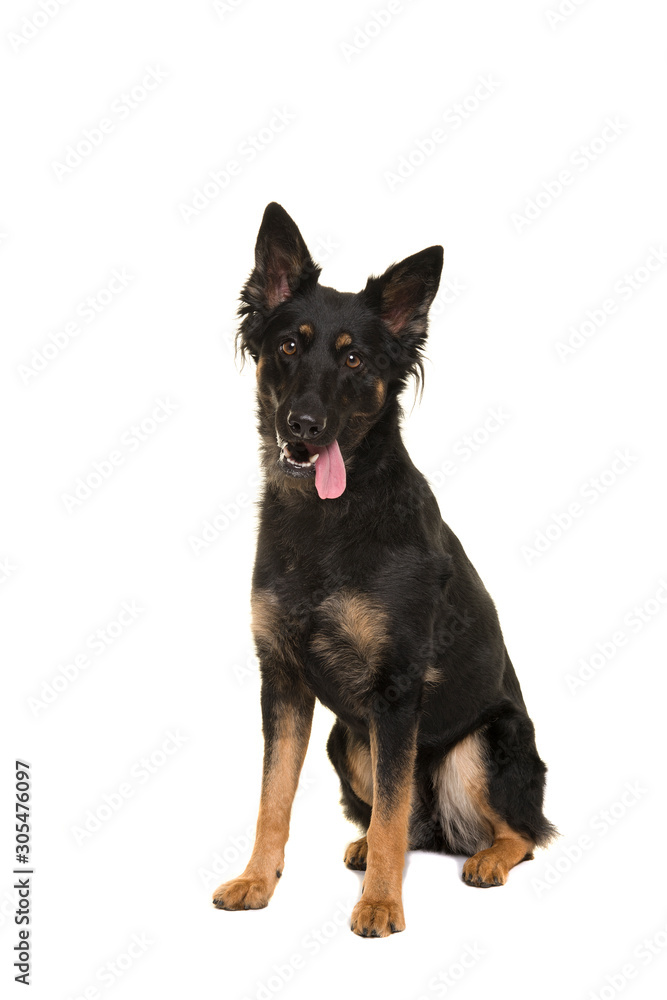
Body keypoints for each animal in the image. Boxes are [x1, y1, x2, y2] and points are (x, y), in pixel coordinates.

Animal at [214, 203, 560, 936]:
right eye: (290, 347)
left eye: (352, 358)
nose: (304, 425)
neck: (329, 520)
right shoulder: (282, 683)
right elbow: (272, 798)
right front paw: (257, 880)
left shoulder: (396, 692)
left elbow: (394, 812)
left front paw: (379, 904)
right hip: (345, 741)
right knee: (403, 824)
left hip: (480, 744)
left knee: (519, 831)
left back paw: (484, 858)